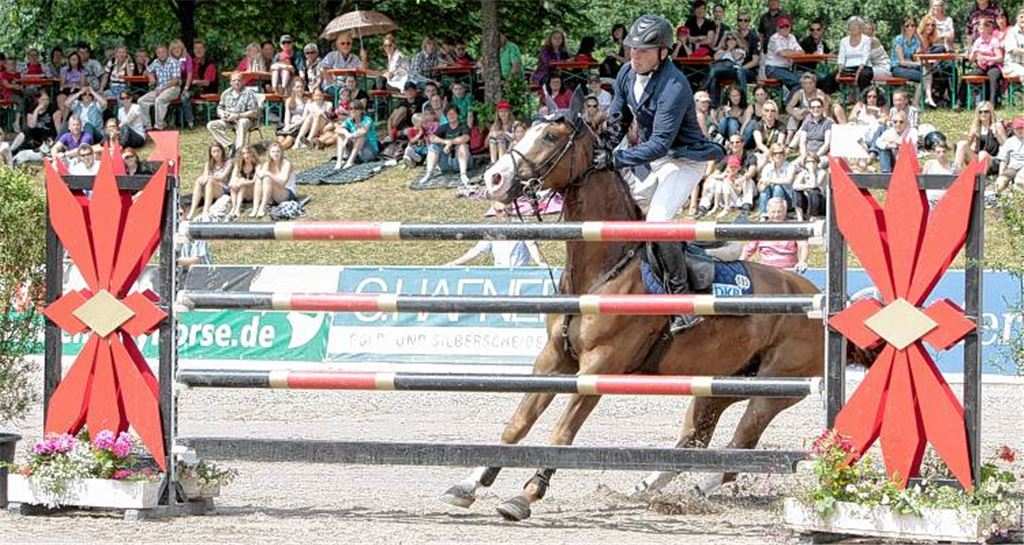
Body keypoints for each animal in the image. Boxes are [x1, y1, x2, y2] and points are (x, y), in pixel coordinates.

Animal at [440, 92, 845, 522]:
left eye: (550, 136)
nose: (494, 179)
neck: (602, 269)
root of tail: (814, 296)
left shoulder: (601, 365)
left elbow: (563, 430)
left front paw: (527, 494)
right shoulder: (554, 359)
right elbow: (517, 423)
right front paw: (469, 485)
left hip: (774, 390)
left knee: (739, 446)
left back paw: (698, 487)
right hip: (718, 385)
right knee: (695, 439)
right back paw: (648, 486)